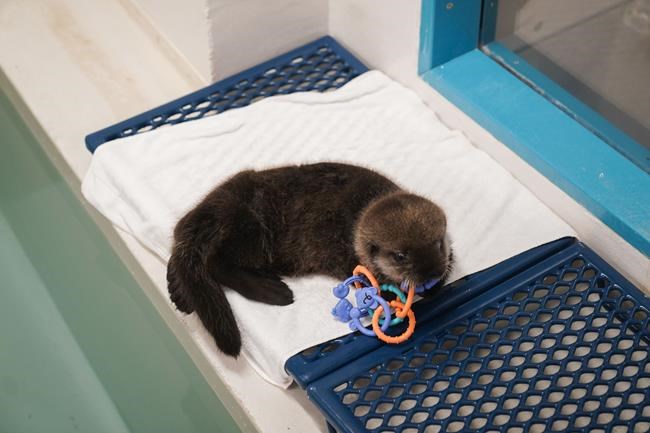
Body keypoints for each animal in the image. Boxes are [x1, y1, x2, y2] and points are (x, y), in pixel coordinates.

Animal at [167, 162, 452, 357]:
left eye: (437, 243)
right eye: (401, 256)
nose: (431, 271)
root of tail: (209, 210)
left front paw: (435, 283)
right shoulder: (346, 257)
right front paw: (393, 294)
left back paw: (178, 291)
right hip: (250, 230)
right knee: (217, 263)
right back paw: (273, 290)